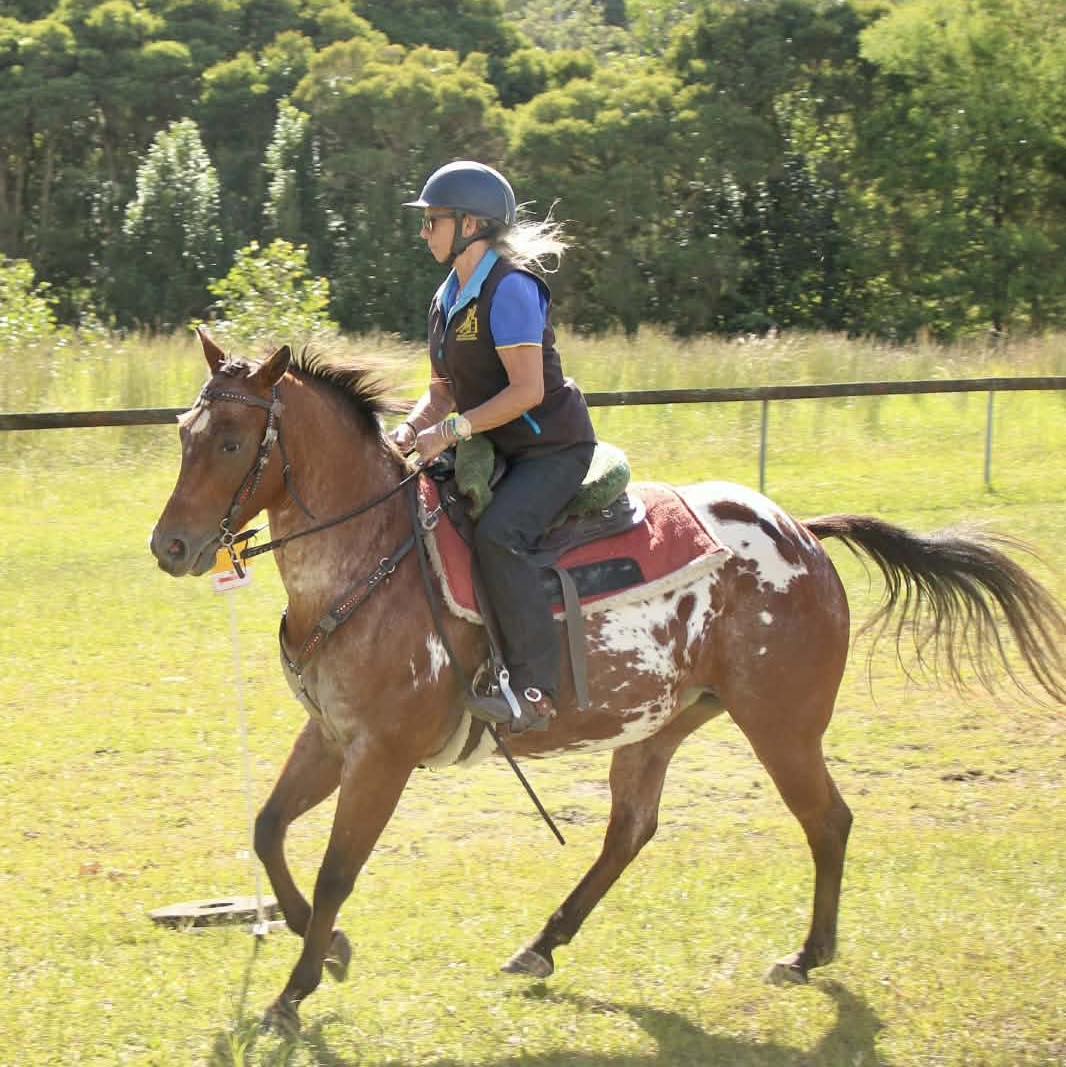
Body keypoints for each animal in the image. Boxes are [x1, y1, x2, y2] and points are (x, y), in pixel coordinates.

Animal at [150, 330, 1064, 1034]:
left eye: (230, 443)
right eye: (184, 433)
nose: (170, 547)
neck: (371, 560)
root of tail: (803, 532)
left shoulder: (382, 754)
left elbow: (338, 868)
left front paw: (294, 989)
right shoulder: (331, 735)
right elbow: (269, 829)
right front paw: (328, 947)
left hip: (781, 725)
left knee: (827, 820)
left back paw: (807, 955)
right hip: (658, 724)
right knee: (630, 830)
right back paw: (543, 942)